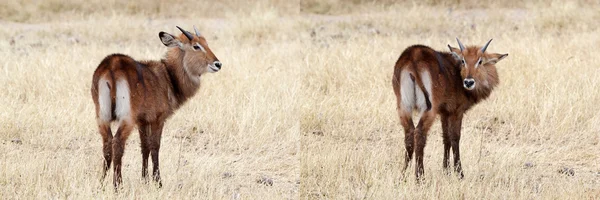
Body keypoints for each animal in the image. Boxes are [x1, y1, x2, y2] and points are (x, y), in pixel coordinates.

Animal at [89, 25, 220, 188]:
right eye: (196, 46)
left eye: (206, 43)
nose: (218, 64)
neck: (169, 77)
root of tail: (112, 66)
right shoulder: (158, 119)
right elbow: (155, 147)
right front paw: (158, 181)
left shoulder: (142, 121)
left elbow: (144, 147)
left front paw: (144, 179)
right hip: (126, 118)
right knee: (117, 143)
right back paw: (118, 185)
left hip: (102, 117)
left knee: (107, 145)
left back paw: (101, 184)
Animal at [392, 38, 508, 179]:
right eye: (463, 60)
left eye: (480, 61)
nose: (468, 82)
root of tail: (413, 56)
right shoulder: (456, 111)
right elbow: (455, 138)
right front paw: (459, 173)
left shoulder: (444, 112)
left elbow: (445, 137)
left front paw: (446, 170)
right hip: (428, 109)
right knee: (419, 134)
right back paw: (420, 177)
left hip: (403, 107)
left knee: (409, 135)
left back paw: (403, 176)